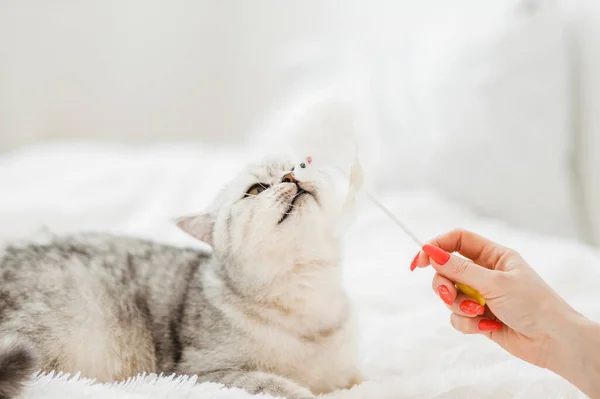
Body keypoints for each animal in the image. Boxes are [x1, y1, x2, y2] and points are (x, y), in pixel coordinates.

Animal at [0, 158, 360, 399]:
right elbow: (274, 384)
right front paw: (301, 392)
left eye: (299, 163)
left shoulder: (346, 373)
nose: (291, 174)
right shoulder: (200, 372)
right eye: (256, 189)